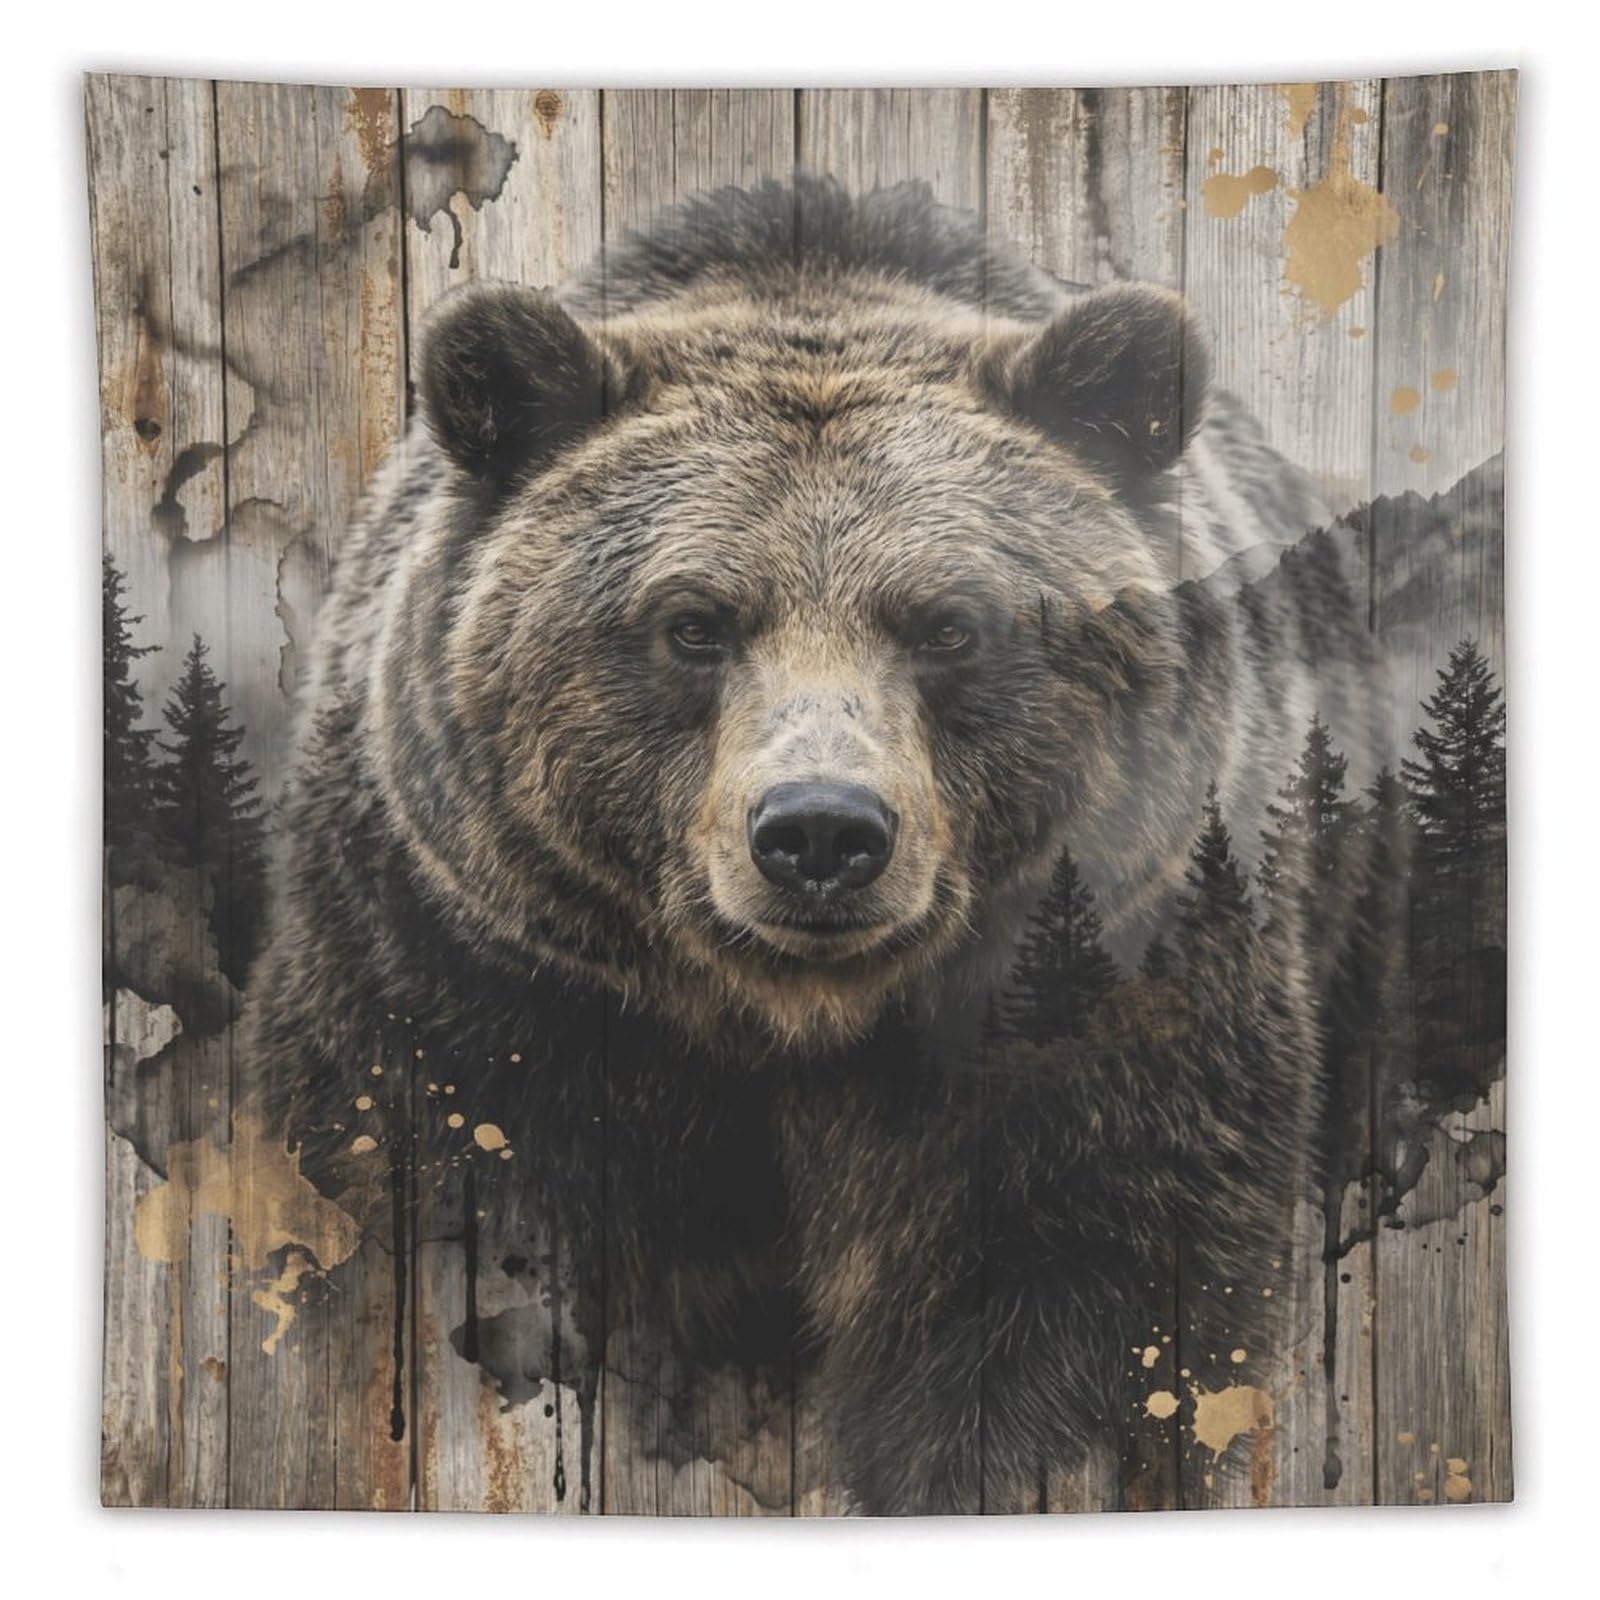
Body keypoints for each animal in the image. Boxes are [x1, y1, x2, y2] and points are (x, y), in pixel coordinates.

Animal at [247, 178, 1380, 1513]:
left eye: (948, 624)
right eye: (694, 621)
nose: (822, 832)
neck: (792, 1025)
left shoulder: (1113, 992)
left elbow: (1087, 1294)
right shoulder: (467, 987)